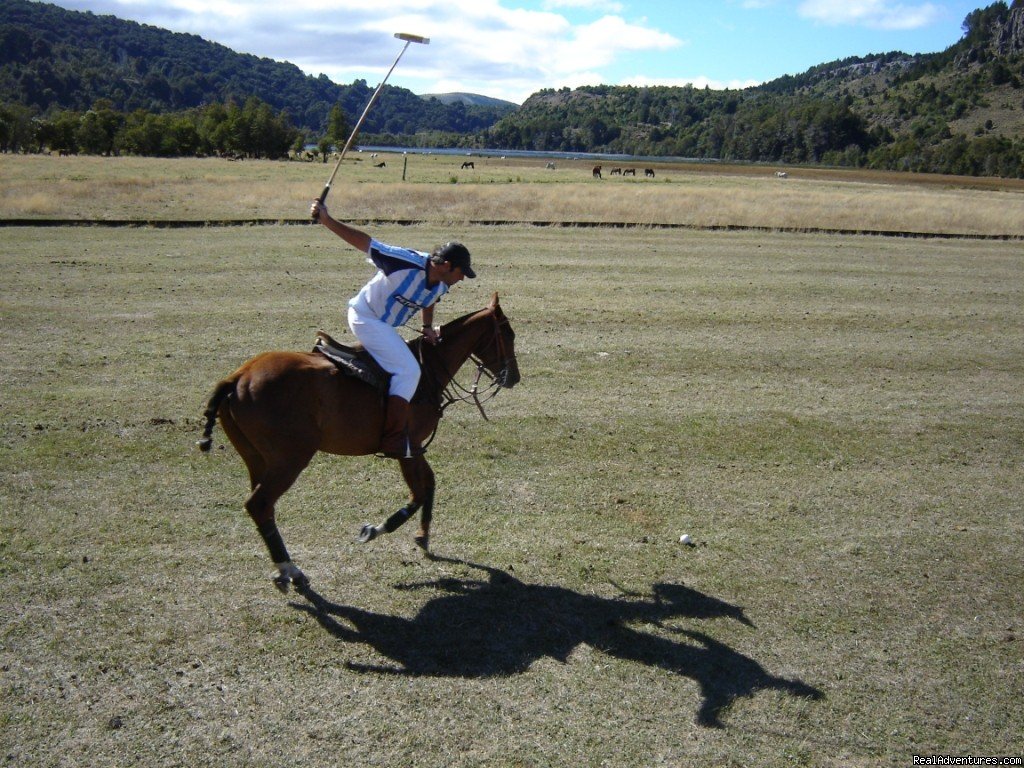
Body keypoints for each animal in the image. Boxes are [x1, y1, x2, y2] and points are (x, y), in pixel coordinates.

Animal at [197, 292, 520, 589]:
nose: (514, 378)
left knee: (263, 508)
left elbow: (428, 484)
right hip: (290, 458)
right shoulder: (407, 446)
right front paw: (376, 530)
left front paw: (422, 536)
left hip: (257, 459)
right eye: (508, 334)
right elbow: (419, 491)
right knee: (260, 504)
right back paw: (291, 569)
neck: (428, 369)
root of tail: (237, 378)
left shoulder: (413, 447)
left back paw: (282, 568)